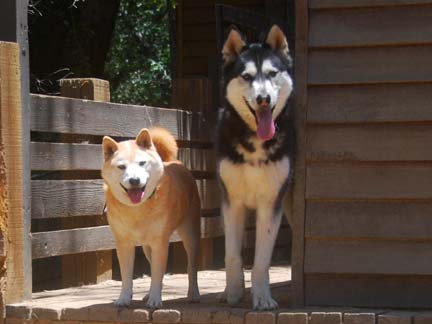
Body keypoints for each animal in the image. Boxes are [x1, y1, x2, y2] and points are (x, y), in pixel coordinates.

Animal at [102, 128, 201, 308]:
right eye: (121, 167)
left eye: (142, 163)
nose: (134, 180)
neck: (137, 208)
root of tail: (173, 162)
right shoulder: (124, 244)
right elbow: (127, 276)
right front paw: (124, 298)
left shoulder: (160, 243)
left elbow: (157, 274)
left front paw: (155, 300)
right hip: (147, 247)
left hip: (190, 234)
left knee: (191, 267)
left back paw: (194, 293)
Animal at [216, 24, 294, 308]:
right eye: (247, 76)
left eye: (272, 73)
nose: (263, 99)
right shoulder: (232, 201)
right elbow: (232, 255)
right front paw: (233, 292)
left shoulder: (270, 203)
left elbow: (261, 260)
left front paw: (262, 298)